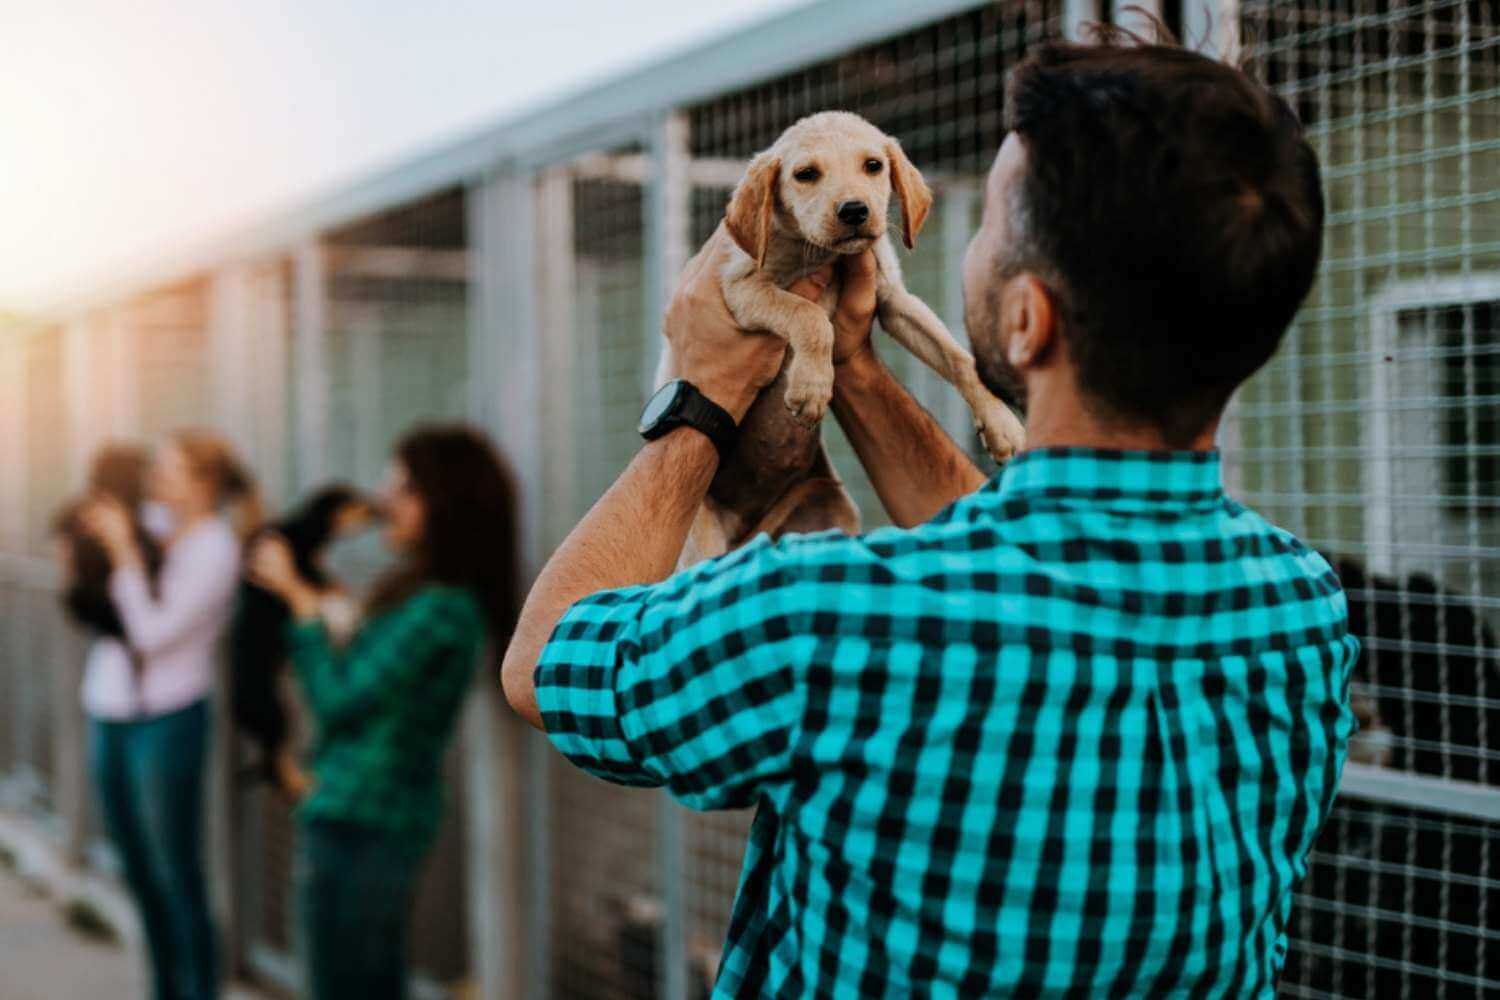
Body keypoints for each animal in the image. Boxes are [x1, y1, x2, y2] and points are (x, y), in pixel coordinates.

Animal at [660, 111, 1026, 563]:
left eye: (873, 166)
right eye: (805, 174)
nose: (854, 210)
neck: (825, 255)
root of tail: (748, 534)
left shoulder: (894, 299)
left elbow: (958, 357)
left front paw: (1000, 422)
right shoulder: (741, 288)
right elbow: (811, 315)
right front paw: (812, 385)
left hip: (828, 509)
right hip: (700, 539)